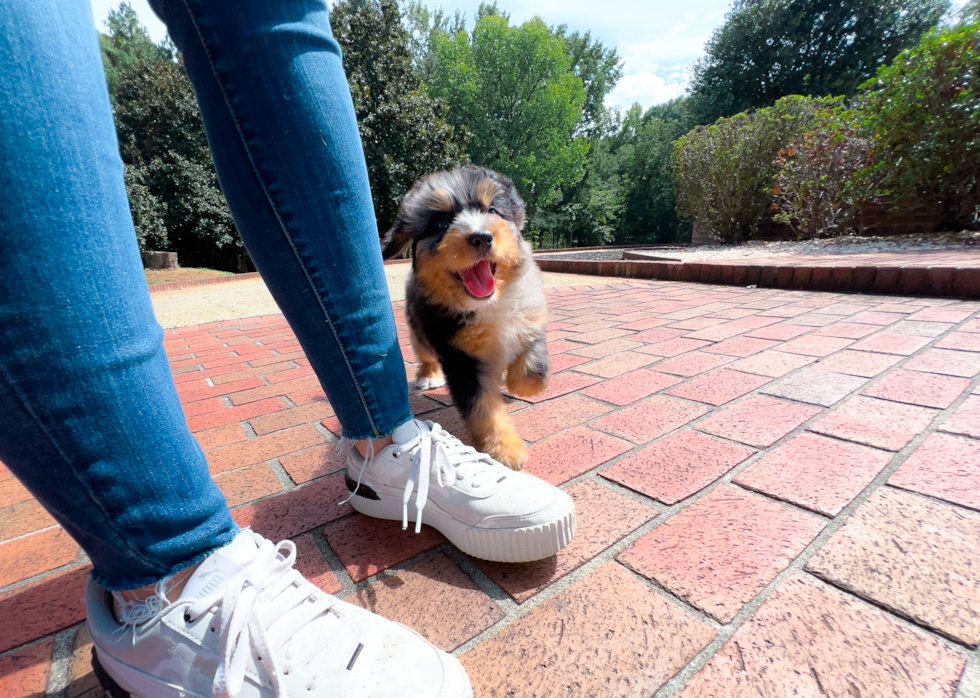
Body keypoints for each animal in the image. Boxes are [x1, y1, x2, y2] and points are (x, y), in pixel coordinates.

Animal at [382, 164, 552, 468]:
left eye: (493, 211)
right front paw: (503, 451)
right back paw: (429, 376)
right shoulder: (460, 356)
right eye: (442, 223)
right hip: (419, 333)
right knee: (425, 354)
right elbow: (483, 408)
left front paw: (517, 382)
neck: (490, 304)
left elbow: (532, 373)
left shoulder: (531, 320)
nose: (481, 236)